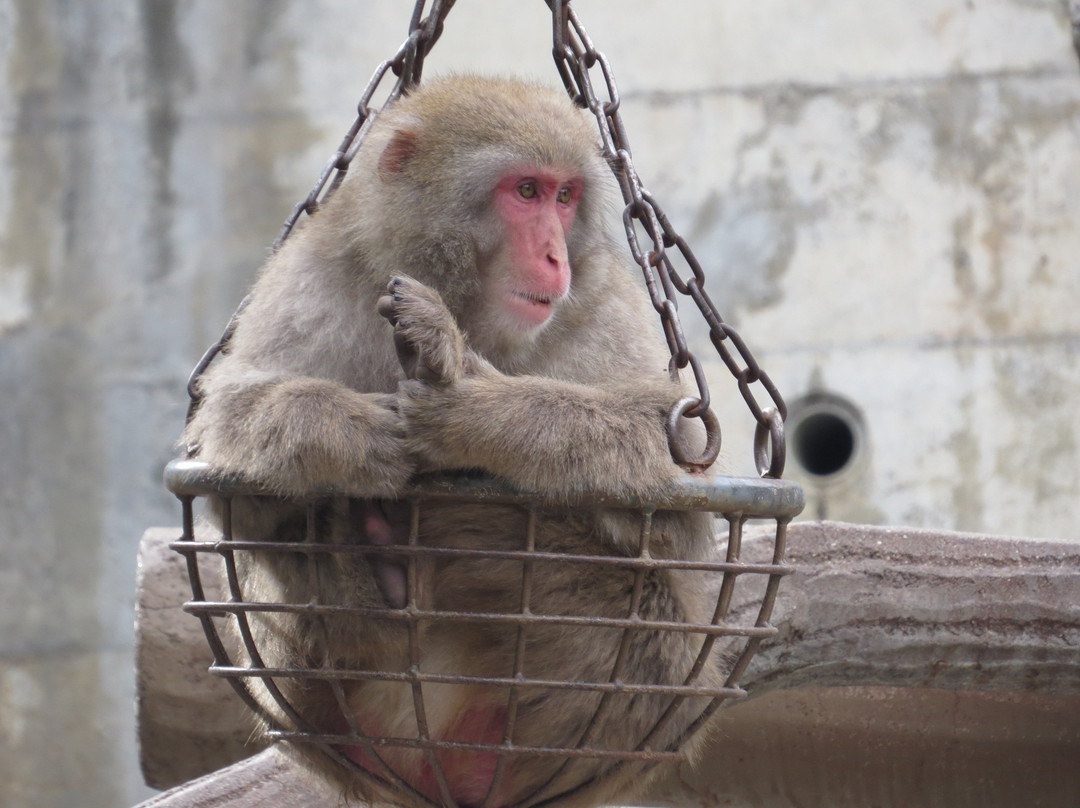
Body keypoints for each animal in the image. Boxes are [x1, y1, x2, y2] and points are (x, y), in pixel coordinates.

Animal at [181, 75, 730, 808]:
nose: (555, 255)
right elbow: (227, 429)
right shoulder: (315, 274)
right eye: (525, 191)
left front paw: (477, 407)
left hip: (624, 691)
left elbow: (676, 473)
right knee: (275, 529)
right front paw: (345, 435)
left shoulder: (600, 301)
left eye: (565, 196)